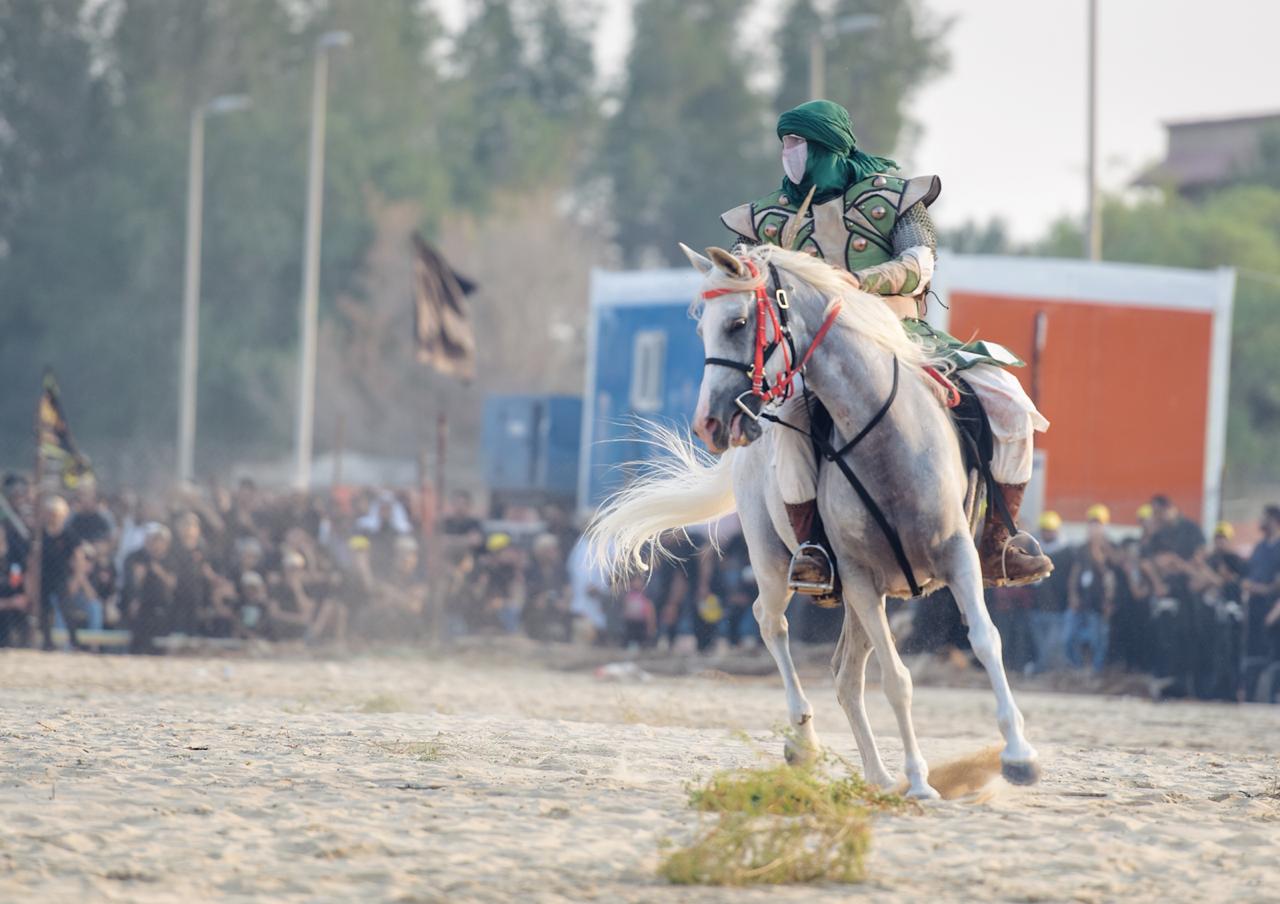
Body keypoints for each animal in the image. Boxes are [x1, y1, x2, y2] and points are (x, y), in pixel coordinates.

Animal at [588, 243, 1040, 799]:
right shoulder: (860, 578)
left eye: (738, 323)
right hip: (771, 559)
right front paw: (918, 781)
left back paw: (878, 775)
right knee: (772, 623)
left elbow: (985, 640)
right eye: (701, 331)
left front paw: (1018, 756)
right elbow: (897, 679)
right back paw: (807, 744)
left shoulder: (957, 557)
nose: (710, 422)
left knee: (846, 676)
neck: (887, 438)